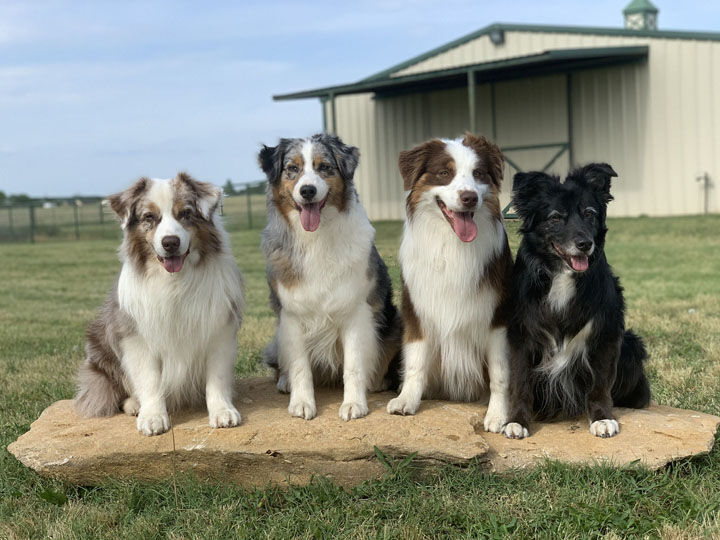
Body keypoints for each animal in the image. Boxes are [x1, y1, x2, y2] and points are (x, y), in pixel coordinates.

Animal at [74, 173, 245, 434]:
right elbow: (150, 379)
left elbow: (216, 378)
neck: (174, 281)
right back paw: (134, 404)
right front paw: (152, 416)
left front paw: (222, 411)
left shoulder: (219, 330)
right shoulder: (136, 337)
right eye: (149, 217)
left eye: (185, 213)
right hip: (101, 350)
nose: (170, 242)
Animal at [260, 133, 404, 420]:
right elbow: (300, 366)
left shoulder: (356, 310)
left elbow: (354, 365)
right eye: (292, 168)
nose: (307, 191)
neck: (316, 236)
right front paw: (302, 402)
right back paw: (284, 381)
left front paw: (354, 404)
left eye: (324, 167)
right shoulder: (291, 314)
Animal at [386, 134, 520, 438]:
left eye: (478, 174)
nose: (469, 197)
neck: (452, 245)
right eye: (444, 173)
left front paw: (498, 414)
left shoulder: (498, 318)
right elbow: (415, 361)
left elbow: (500, 373)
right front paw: (407, 398)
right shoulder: (418, 309)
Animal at [504, 162, 648, 436]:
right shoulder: (521, 335)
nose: (585, 244)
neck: (562, 273)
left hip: (632, 344)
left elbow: (600, 385)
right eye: (555, 217)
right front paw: (516, 421)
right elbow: (520, 382)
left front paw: (602, 418)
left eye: (589, 213)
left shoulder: (606, 334)